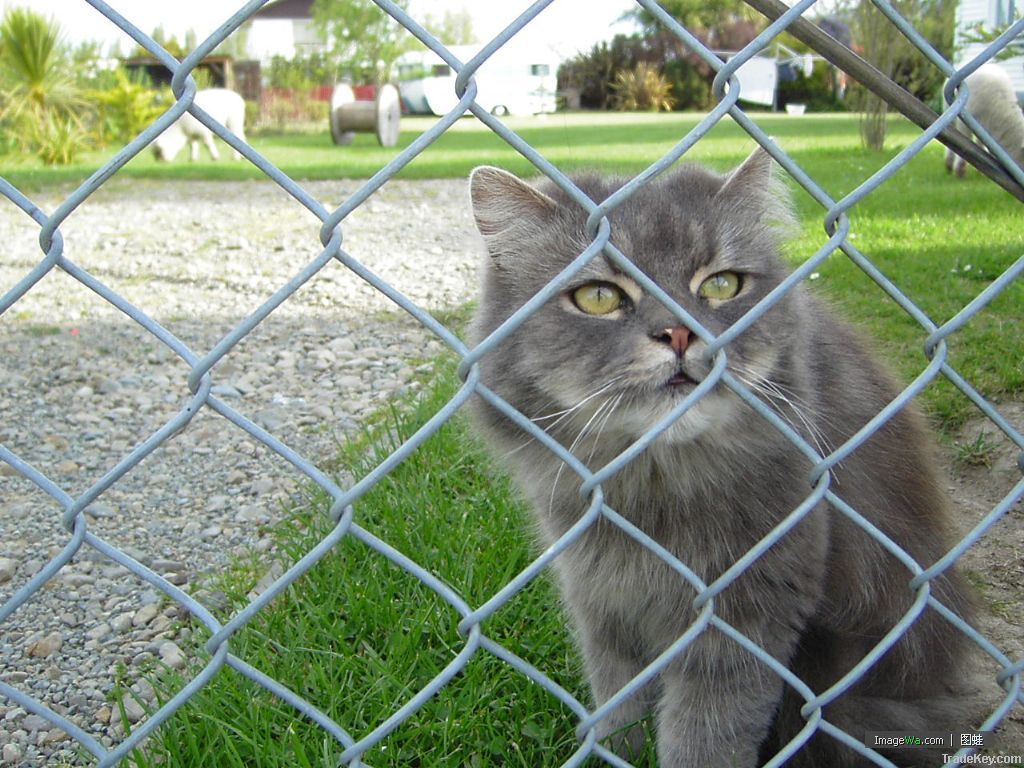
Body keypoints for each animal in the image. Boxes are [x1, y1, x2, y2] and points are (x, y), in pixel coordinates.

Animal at [464, 147, 974, 765]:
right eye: (598, 297)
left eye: (722, 286)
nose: (680, 334)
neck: (650, 493)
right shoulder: (604, 606)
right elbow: (620, 710)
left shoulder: (747, 615)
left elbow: (703, 737)